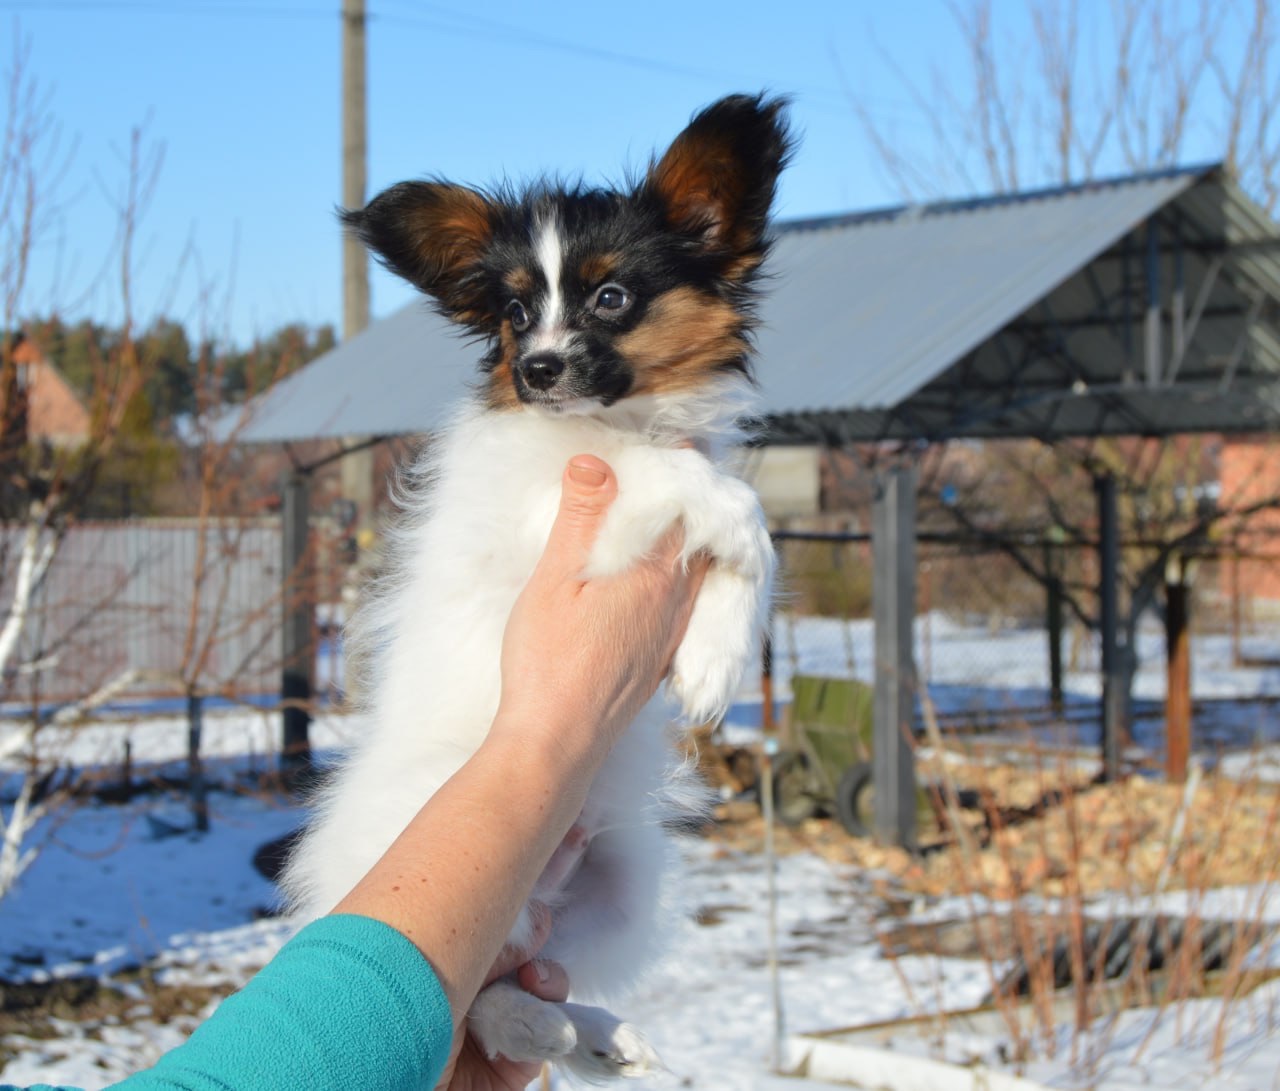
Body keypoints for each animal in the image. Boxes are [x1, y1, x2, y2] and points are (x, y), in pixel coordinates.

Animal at [284, 93, 788, 1080]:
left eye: (611, 297)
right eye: (515, 310)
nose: (536, 370)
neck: (614, 418)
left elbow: (727, 545)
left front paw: (715, 660)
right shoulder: (563, 507)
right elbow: (705, 488)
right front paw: (739, 532)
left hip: (626, 884)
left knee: (522, 967)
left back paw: (590, 1034)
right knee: (470, 996)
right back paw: (536, 1028)